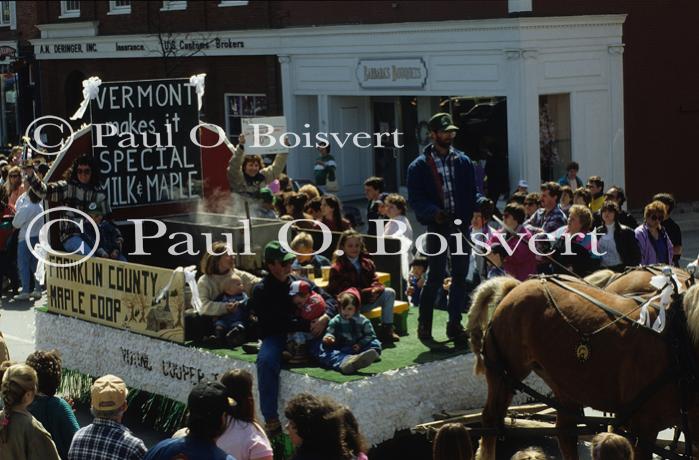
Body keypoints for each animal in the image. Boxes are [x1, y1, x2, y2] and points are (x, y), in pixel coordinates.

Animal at [468, 274, 699, 458]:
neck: (678, 341)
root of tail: (514, 287)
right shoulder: (642, 429)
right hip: (503, 374)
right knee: (491, 421)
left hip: (564, 382)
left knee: (565, 432)